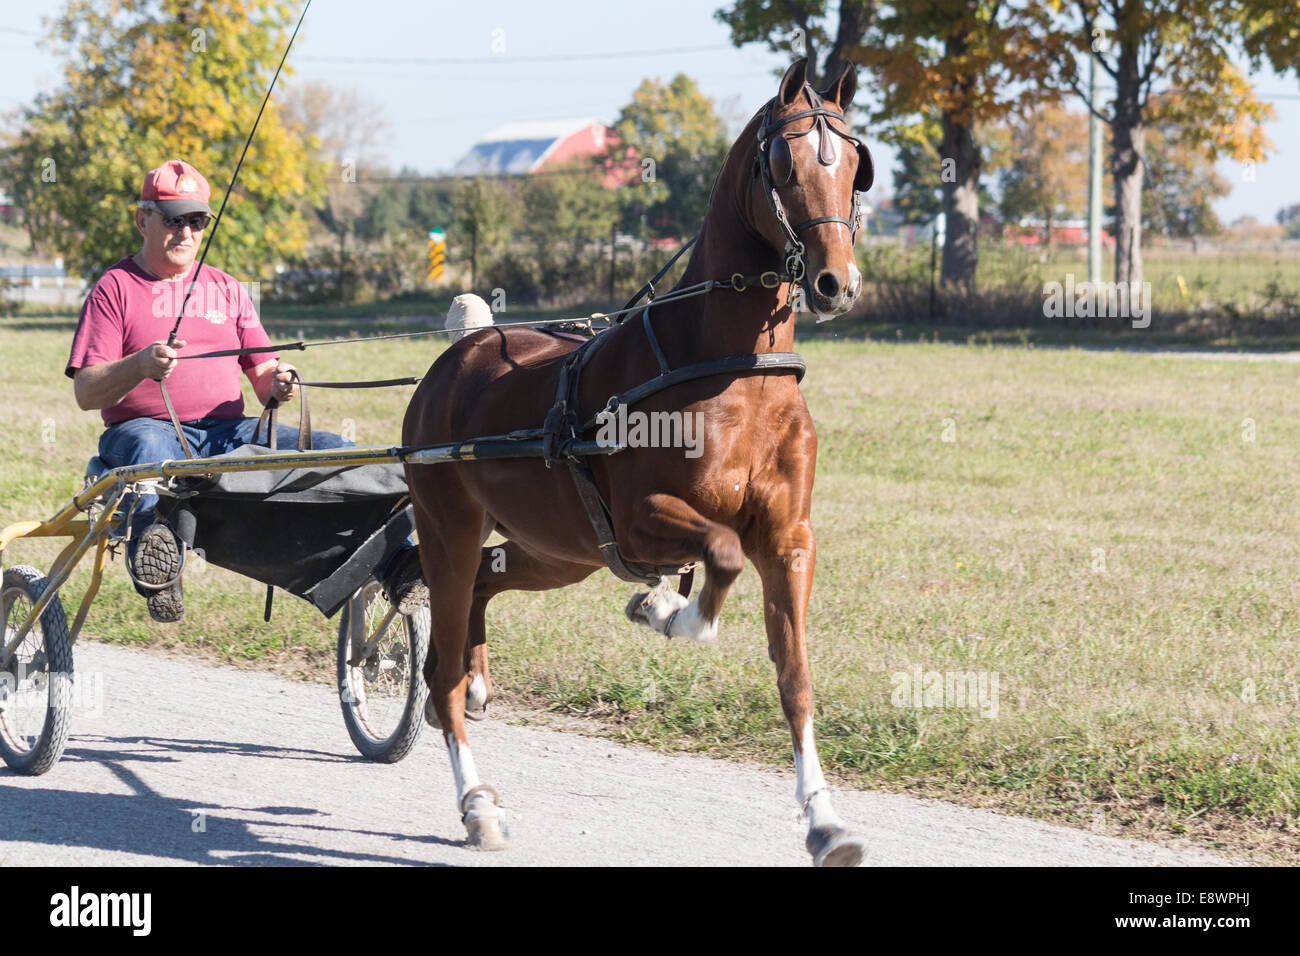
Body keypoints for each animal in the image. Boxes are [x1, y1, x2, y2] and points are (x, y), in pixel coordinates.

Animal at [402, 56, 873, 866]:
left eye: (853, 163)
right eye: (783, 164)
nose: (833, 283)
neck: (734, 368)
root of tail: (459, 355)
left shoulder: (790, 539)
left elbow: (796, 678)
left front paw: (825, 821)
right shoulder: (642, 519)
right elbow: (722, 555)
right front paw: (670, 611)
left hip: (558, 549)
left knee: (484, 592)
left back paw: (480, 679)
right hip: (451, 528)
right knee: (440, 665)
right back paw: (476, 803)